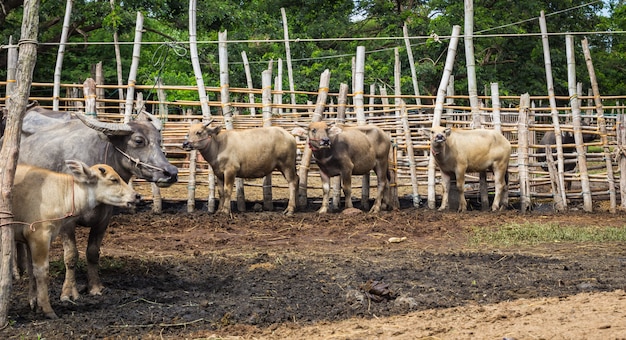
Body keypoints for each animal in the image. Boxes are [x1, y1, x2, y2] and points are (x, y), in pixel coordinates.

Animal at [11, 106, 179, 300]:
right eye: (138, 140)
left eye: (159, 141)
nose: (171, 172)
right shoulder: (67, 222)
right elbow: (71, 255)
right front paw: (69, 292)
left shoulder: (104, 219)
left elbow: (92, 252)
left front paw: (95, 287)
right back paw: (16, 272)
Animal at [12, 159, 140, 318]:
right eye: (113, 179)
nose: (137, 196)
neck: (58, 193)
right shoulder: (40, 236)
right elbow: (41, 271)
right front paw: (47, 309)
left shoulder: (29, 239)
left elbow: (31, 270)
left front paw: (34, 303)